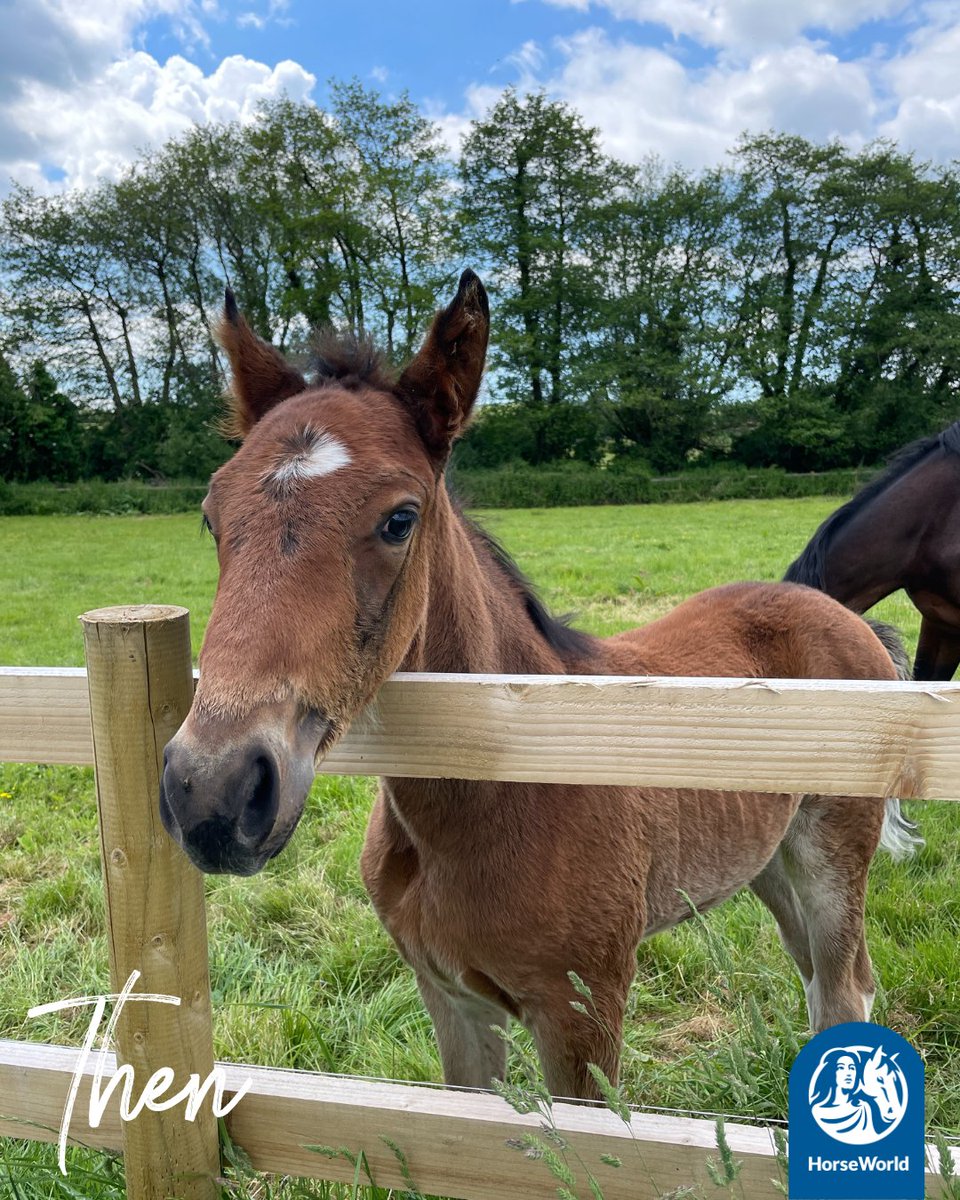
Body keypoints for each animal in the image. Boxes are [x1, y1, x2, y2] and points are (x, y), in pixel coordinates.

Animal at [159, 271, 916, 1101]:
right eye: (211, 516)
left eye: (399, 519)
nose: (214, 790)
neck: (491, 795)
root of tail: (843, 616)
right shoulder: (450, 999)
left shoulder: (583, 1011)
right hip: (770, 861)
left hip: (832, 858)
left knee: (845, 988)